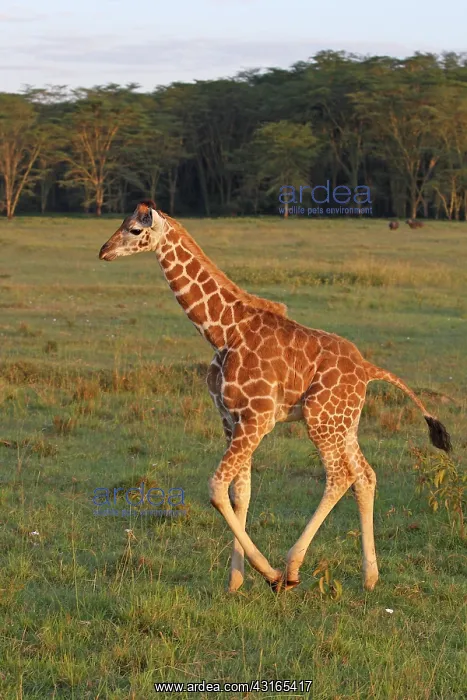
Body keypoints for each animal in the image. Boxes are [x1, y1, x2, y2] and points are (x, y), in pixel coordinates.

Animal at [99, 200, 452, 592]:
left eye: (134, 230)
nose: (104, 251)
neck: (223, 332)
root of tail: (367, 369)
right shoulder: (230, 418)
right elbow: (240, 493)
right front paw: (234, 582)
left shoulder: (258, 417)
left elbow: (217, 487)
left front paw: (267, 573)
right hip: (343, 422)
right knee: (365, 475)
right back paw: (370, 577)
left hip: (319, 419)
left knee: (339, 477)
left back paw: (292, 569)